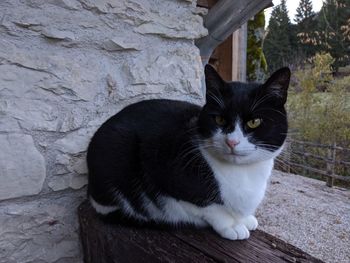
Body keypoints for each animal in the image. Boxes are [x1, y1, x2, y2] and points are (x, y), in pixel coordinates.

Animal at [87, 64, 290, 241]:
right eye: (219, 119)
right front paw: (231, 224)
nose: (232, 141)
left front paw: (245, 219)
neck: (243, 173)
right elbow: (206, 205)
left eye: (254, 122)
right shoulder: (166, 169)